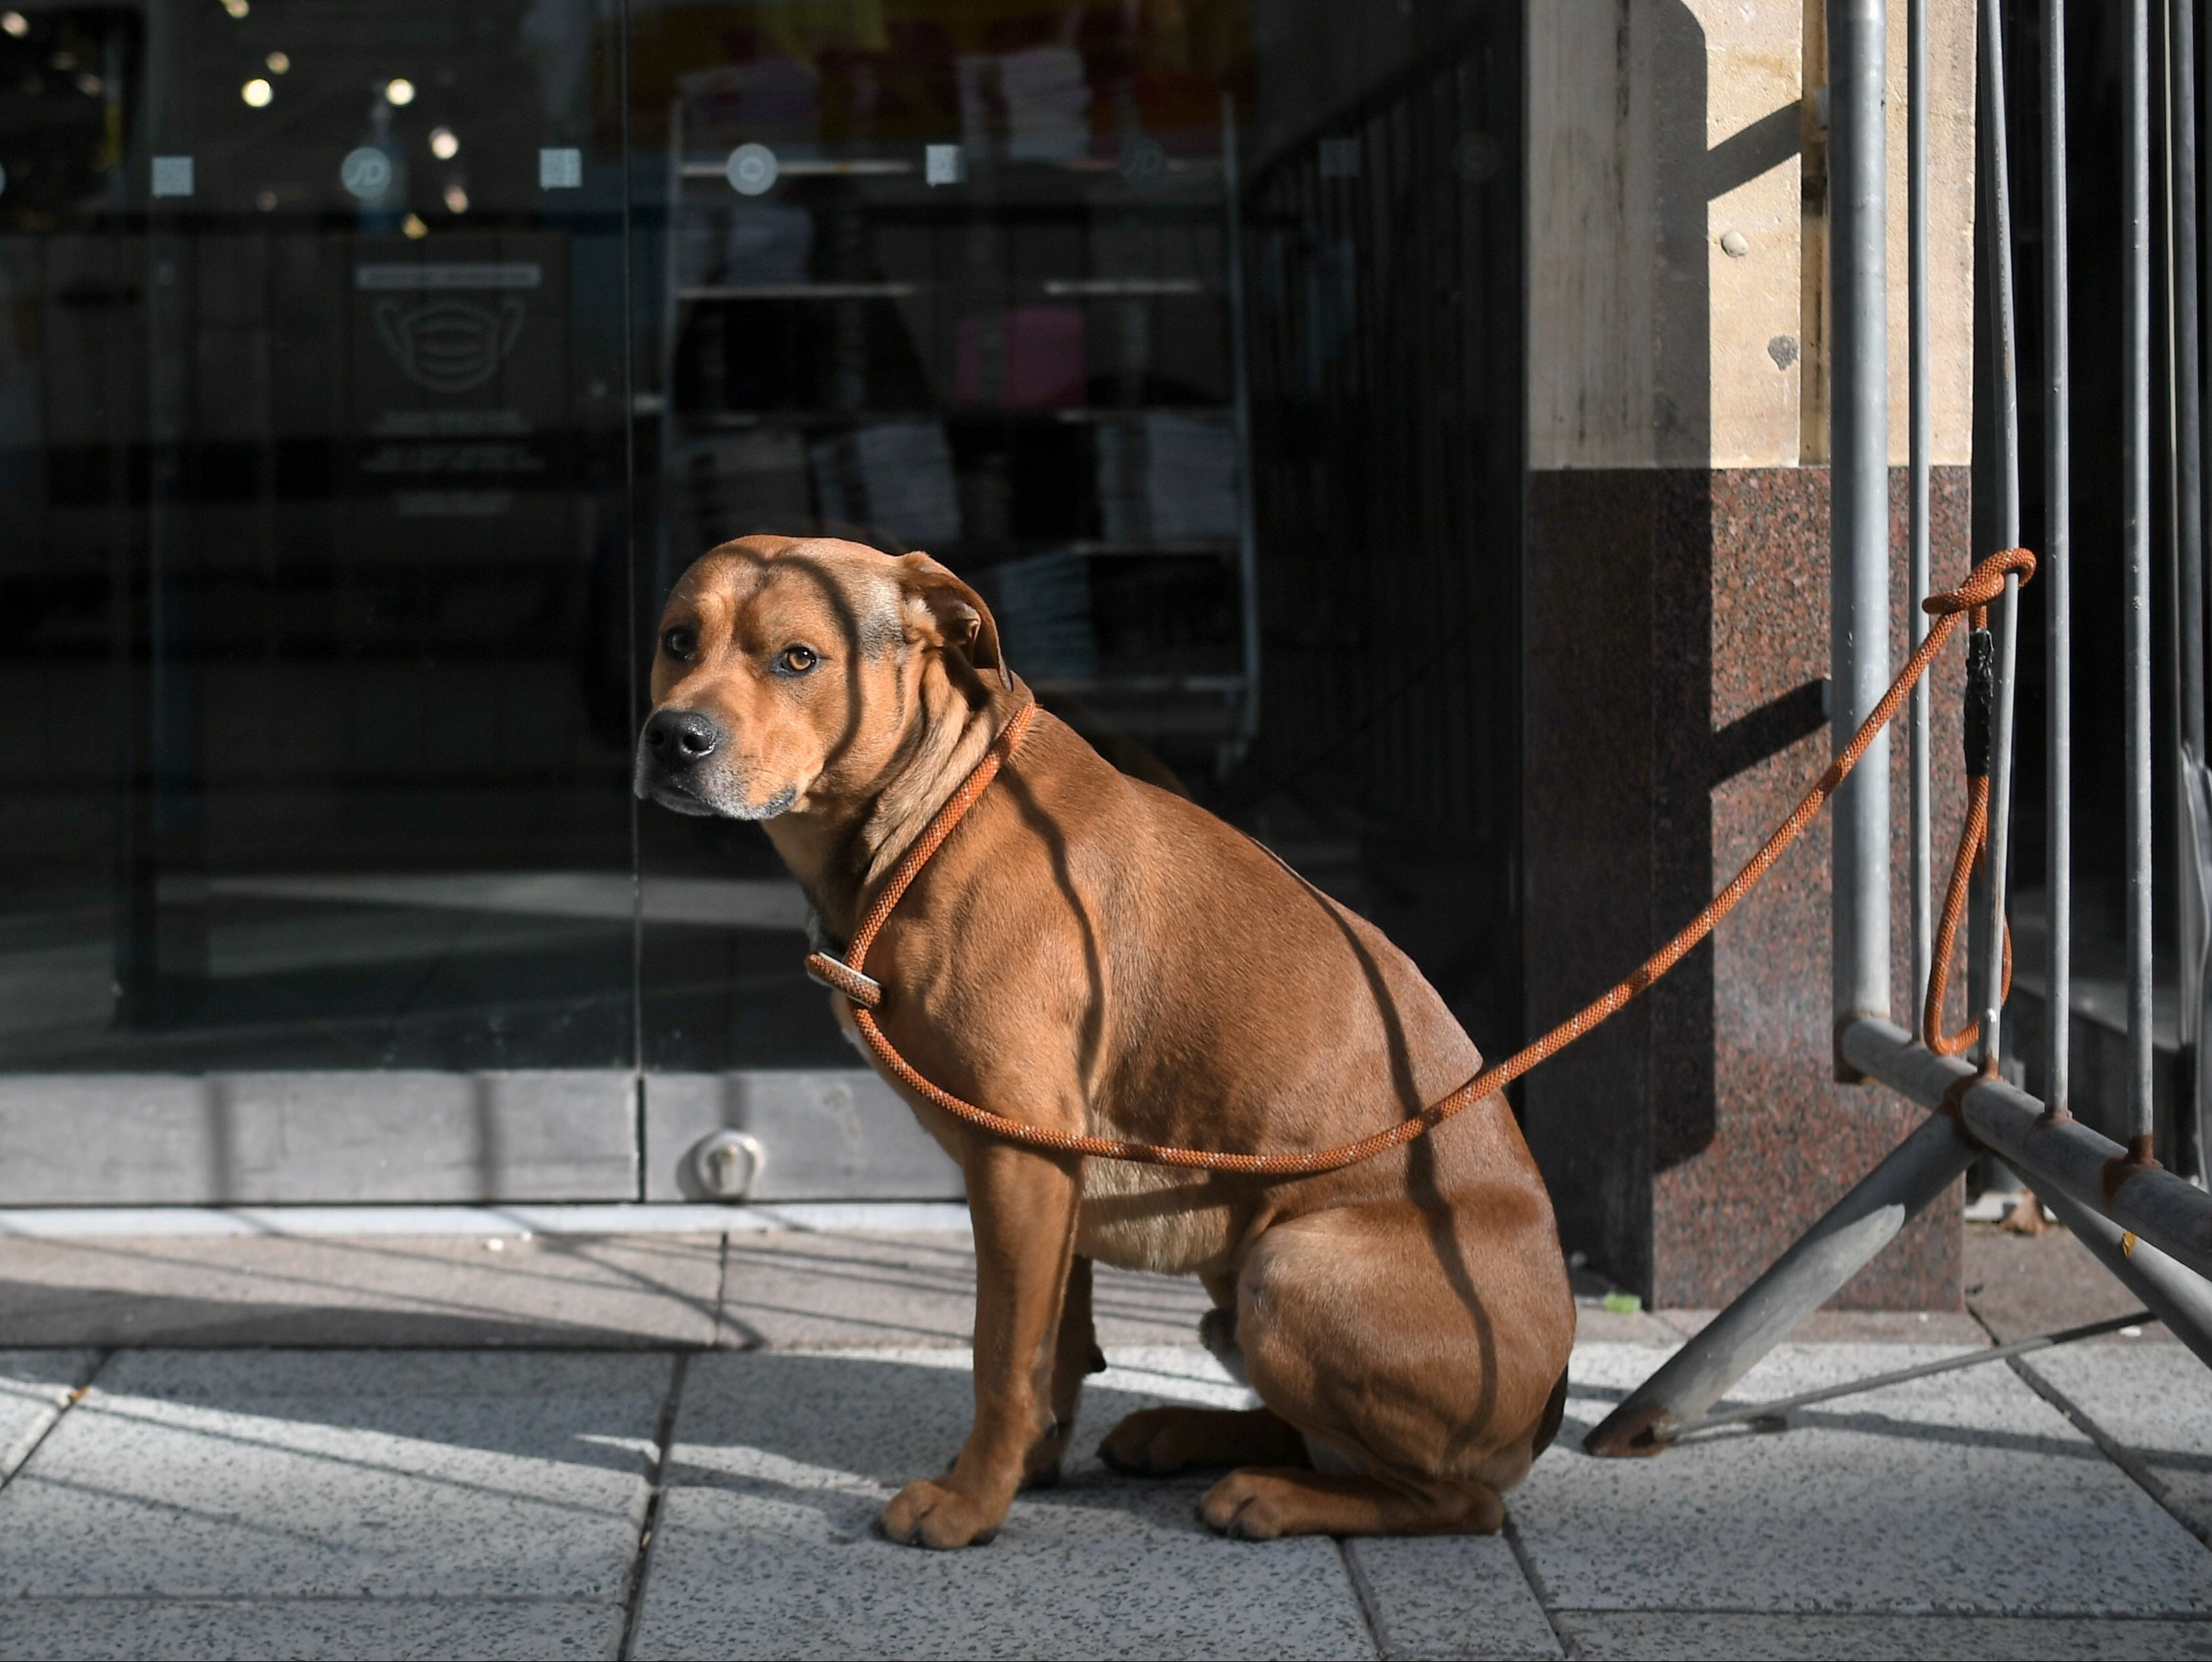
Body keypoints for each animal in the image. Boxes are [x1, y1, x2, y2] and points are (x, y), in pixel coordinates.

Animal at [637, 540, 1574, 1558]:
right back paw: (1187, 1435)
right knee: (1313, 1435)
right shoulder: (1052, 1172)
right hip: (1238, 1285)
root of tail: (1546, 1404)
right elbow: (1054, 1348)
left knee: (1454, 1500)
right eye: (677, 639)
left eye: (798, 658)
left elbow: (1001, 1355)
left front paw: (971, 1504)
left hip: (1291, 1267)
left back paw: (1273, 1497)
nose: (672, 737)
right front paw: (1029, 1470)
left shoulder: (1018, 1157)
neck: (929, 814)